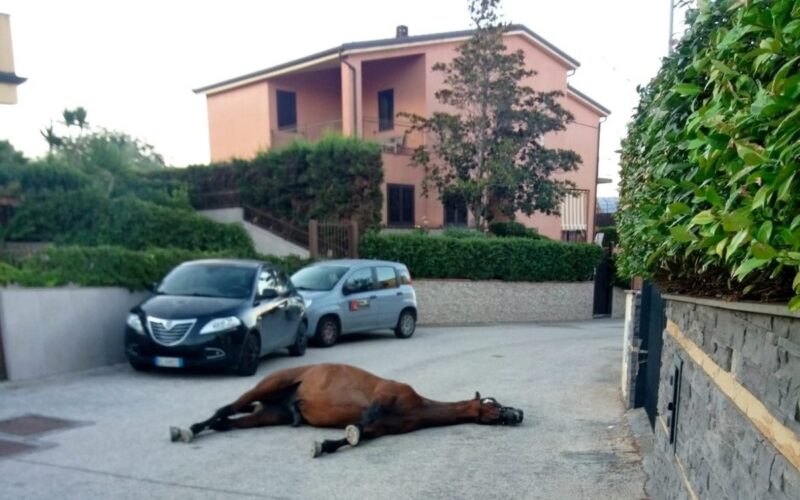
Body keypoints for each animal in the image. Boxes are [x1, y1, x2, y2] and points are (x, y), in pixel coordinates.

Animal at [169, 363, 524, 457]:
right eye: (492, 403)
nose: (517, 415)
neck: (416, 406)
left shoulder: (381, 429)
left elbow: (358, 435)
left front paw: (324, 445)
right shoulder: (384, 396)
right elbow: (360, 424)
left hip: (267, 415)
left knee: (227, 422)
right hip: (267, 386)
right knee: (224, 409)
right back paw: (186, 429)